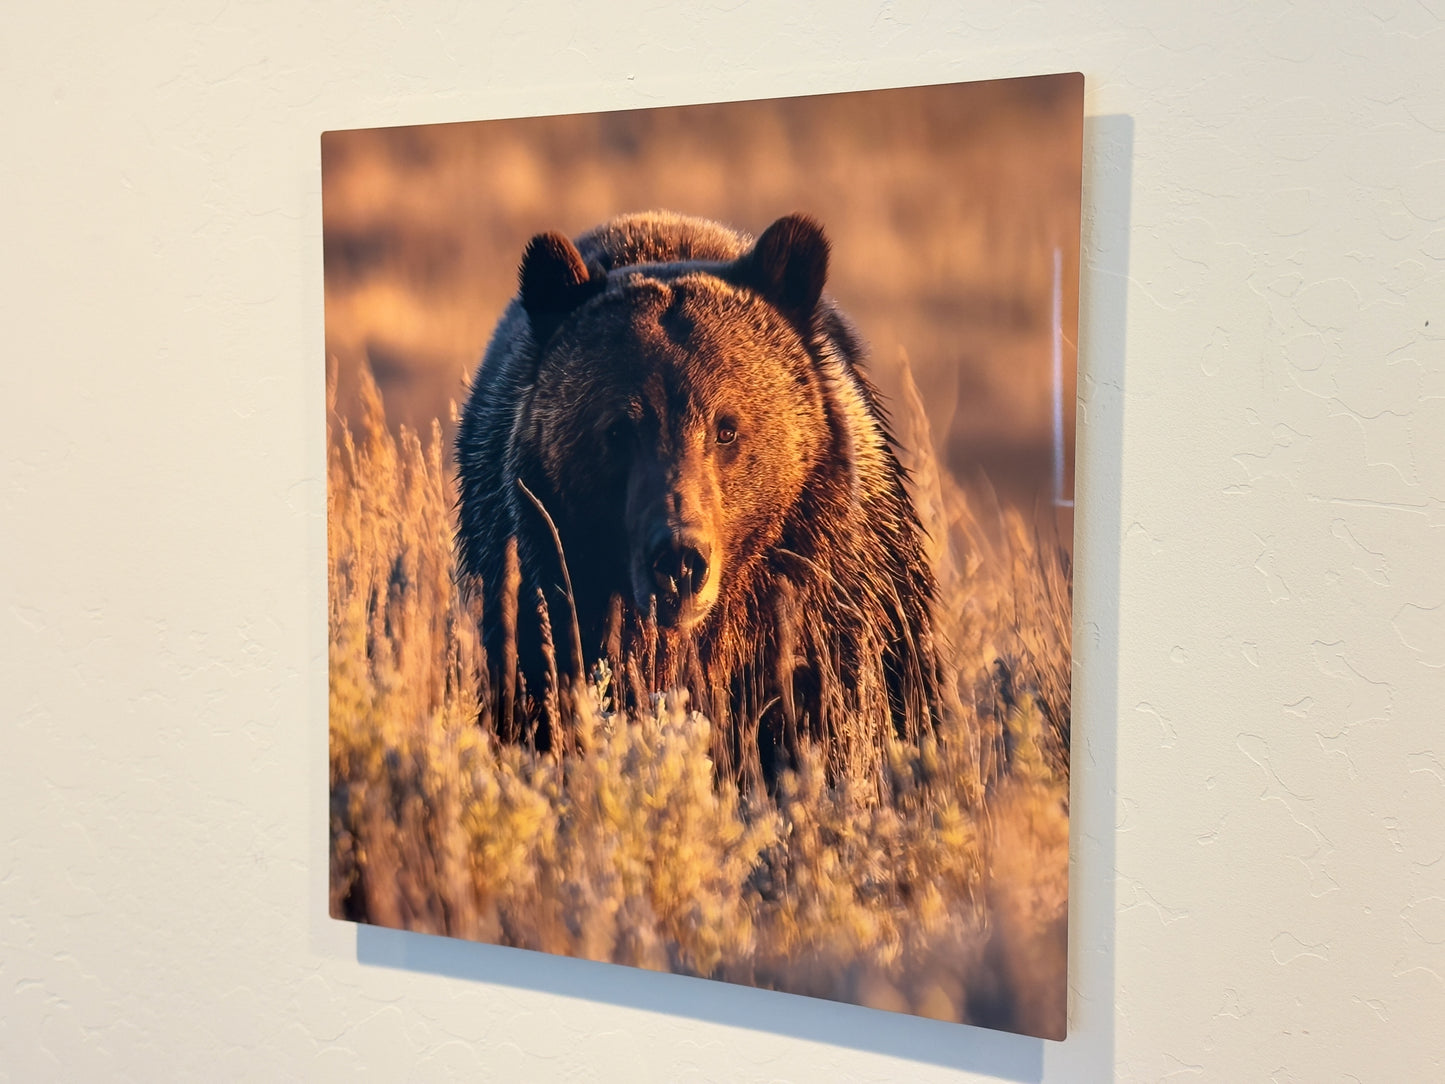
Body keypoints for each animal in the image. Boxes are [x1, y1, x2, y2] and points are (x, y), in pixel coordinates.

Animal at [455, 211, 942, 787]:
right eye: (619, 429)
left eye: (726, 428)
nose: (679, 560)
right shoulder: (540, 592)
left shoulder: (826, 601)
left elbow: (840, 717)